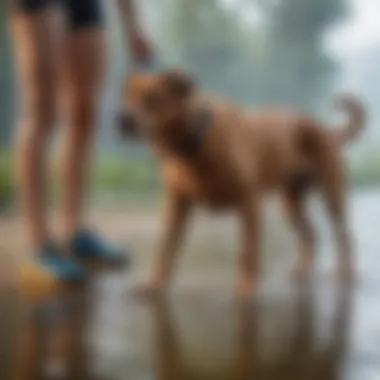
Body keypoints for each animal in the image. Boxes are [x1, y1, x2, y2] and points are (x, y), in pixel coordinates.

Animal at [118, 70, 366, 298]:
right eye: (127, 98)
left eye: (153, 98)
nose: (122, 120)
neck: (195, 147)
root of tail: (327, 130)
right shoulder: (176, 206)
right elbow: (165, 247)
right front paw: (154, 284)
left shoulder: (250, 204)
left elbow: (248, 252)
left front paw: (247, 288)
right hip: (290, 202)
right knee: (310, 234)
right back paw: (301, 270)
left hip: (332, 195)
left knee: (345, 236)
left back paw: (347, 274)